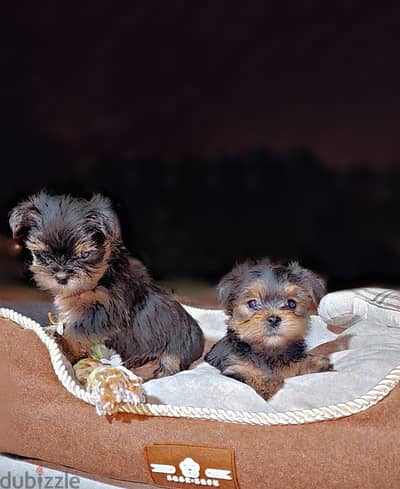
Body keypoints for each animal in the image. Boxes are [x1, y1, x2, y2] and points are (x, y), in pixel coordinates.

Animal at [9, 192, 205, 378]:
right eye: (43, 254)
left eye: (85, 254)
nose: (62, 277)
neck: (100, 278)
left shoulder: (103, 311)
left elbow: (75, 332)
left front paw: (64, 346)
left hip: (173, 354)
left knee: (167, 366)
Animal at [205, 260, 332, 400]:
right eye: (252, 303)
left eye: (291, 303)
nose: (274, 319)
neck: (269, 350)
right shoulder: (236, 365)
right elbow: (248, 373)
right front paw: (266, 382)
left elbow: (296, 365)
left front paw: (315, 363)